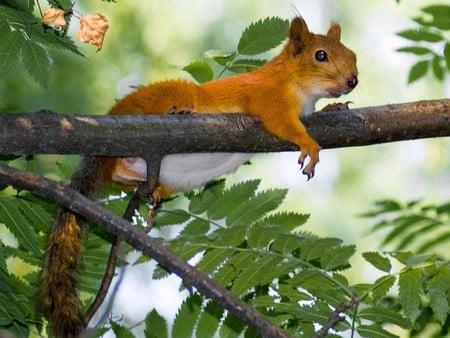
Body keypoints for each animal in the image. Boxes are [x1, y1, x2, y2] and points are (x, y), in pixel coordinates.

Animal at [37, 16, 356, 338]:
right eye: (320, 55)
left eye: (352, 54)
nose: (353, 80)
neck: (296, 85)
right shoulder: (266, 97)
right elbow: (281, 122)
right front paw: (307, 143)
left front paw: (335, 107)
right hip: (171, 97)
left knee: (123, 175)